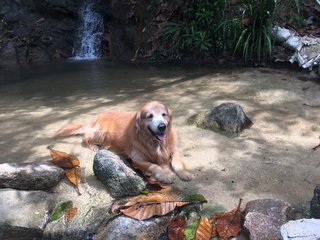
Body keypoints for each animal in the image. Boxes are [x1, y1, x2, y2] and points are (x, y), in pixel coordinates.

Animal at [55, 100, 191, 183]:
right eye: (149, 116)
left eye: (164, 114)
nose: (162, 126)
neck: (155, 143)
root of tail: (99, 117)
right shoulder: (137, 159)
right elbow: (155, 166)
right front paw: (164, 175)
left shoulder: (173, 150)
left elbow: (177, 162)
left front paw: (184, 173)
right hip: (100, 133)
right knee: (85, 138)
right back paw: (94, 146)